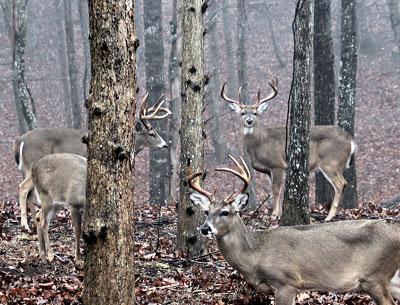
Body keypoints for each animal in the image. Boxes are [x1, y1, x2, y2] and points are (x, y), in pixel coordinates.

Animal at [12, 92, 170, 230]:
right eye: (152, 133)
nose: (165, 145)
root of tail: (19, 140)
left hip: (28, 169)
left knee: (30, 194)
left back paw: (33, 222)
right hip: (33, 164)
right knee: (22, 188)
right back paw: (25, 225)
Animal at [189, 156, 400, 304]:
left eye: (225, 212)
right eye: (206, 211)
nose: (205, 228)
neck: (256, 254)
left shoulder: (287, 282)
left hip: (375, 276)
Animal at [222, 79, 356, 220]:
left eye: (255, 113)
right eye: (242, 113)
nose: (249, 121)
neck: (260, 143)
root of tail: (350, 140)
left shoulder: (277, 165)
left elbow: (275, 190)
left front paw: (274, 214)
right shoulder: (268, 171)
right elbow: (276, 190)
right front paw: (279, 213)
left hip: (330, 162)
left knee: (341, 184)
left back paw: (329, 217)